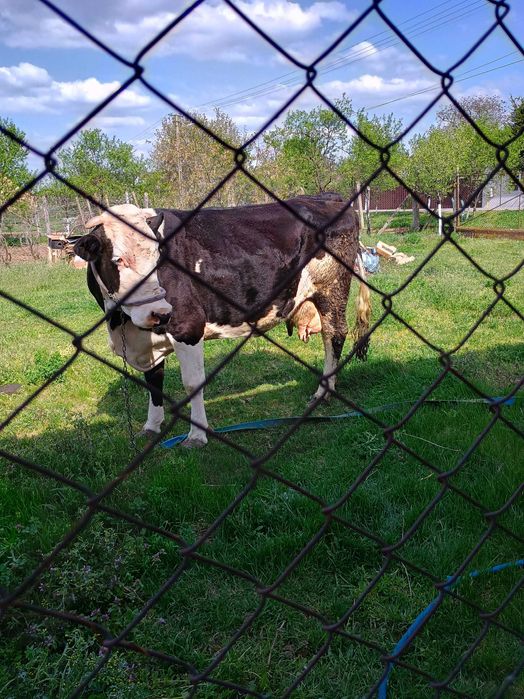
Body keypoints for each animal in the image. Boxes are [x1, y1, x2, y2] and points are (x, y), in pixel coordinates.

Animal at [73, 196, 371, 447]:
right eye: (117, 260)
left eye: (159, 258)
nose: (161, 311)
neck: (121, 323)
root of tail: (328, 197)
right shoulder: (147, 340)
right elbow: (153, 381)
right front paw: (151, 426)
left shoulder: (188, 327)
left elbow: (192, 383)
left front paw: (197, 435)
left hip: (332, 288)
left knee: (334, 335)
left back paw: (323, 392)